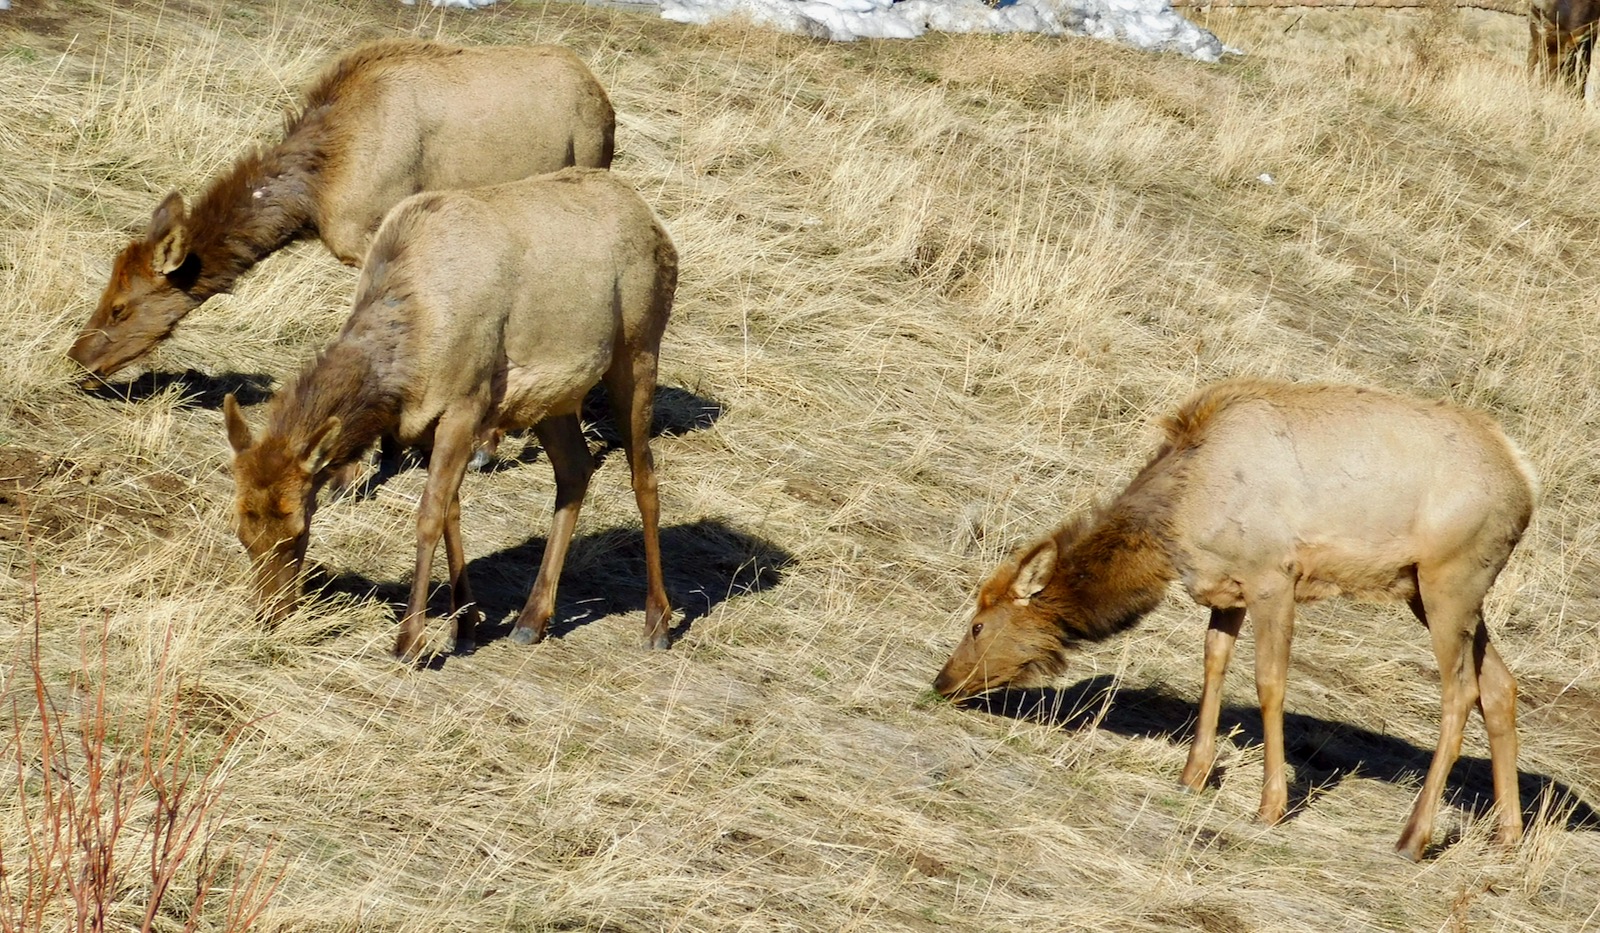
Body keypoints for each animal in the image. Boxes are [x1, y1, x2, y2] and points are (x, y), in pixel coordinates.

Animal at [70, 38, 615, 382]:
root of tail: (603, 98)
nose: (77, 358)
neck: (317, 192)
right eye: (105, 289)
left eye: (120, 306)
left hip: (585, 165)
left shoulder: (371, 234)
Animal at [222, 168, 677, 662]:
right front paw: (466, 626)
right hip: (553, 397)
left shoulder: (466, 403)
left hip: (638, 349)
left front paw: (411, 640)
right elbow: (450, 514)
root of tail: (654, 222)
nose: (269, 614)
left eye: (299, 530)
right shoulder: (426, 422)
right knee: (576, 469)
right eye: (242, 531)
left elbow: (428, 516)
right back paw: (532, 618)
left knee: (645, 477)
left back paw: (657, 622)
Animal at [932, 379, 1536, 861]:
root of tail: (1526, 482)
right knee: (1500, 685)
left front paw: (1270, 805)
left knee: (1459, 693)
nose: (942, 681)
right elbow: (1213, 664)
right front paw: (1193, 774)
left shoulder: (1273, 576)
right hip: (1435, 592)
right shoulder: (1227, 589)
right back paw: (1507, 834)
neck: (1177, 518)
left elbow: (1270, 683)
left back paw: (1413, 837)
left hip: (1448, 579)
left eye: (978, 625)